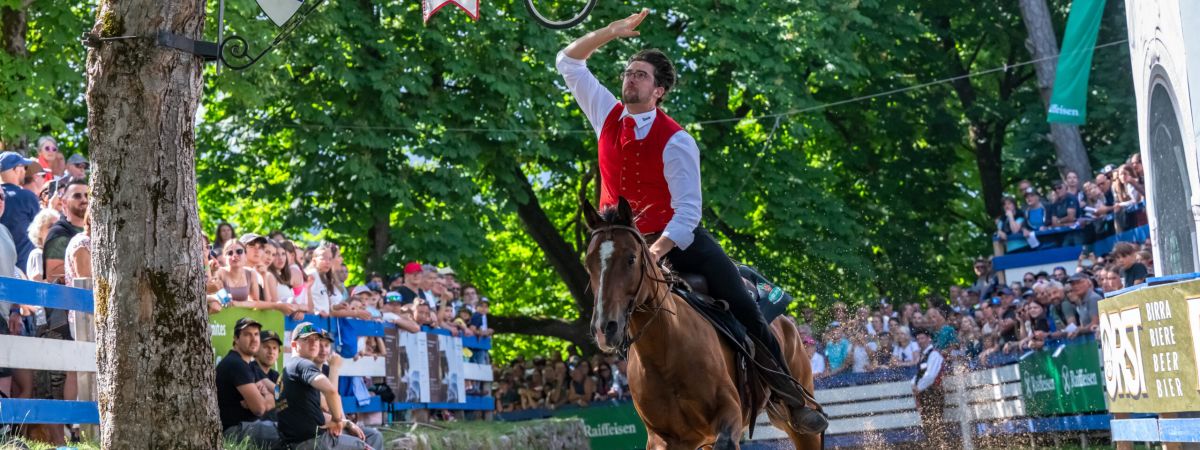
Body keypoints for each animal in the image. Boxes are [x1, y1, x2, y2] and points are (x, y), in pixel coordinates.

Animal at [583, 197, 822, 450]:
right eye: (589, 264)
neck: (665, 352)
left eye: (631, 258)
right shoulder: (664, 438)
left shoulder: (729, 413)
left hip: (802, 425)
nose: (605, 329)